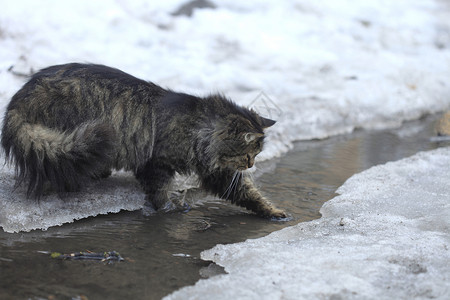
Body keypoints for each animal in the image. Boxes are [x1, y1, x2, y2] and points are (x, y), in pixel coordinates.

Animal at [0, 63, 284, 218]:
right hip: (68, 136)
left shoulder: (217, 172)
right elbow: (159, 192)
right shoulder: (156, 162)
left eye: (256, 156)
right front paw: (169, 208)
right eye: (248, 155)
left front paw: (273, 213)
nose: (250, 165)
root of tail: (19, 100)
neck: (199, 130)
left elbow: (249, 194)